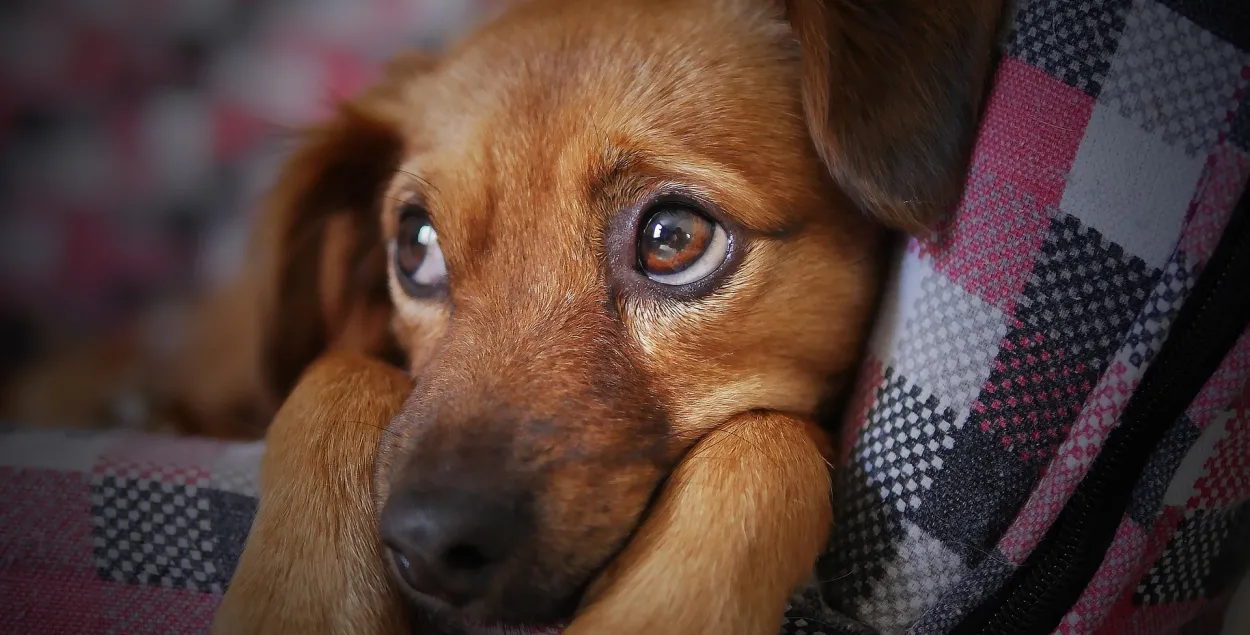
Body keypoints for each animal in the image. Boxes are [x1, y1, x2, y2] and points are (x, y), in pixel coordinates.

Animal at [119, 0, 1005, 632]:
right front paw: (299, 602)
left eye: (674, 238)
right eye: (416, 245)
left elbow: (767, 439)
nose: (429, 544)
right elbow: (336, 371)